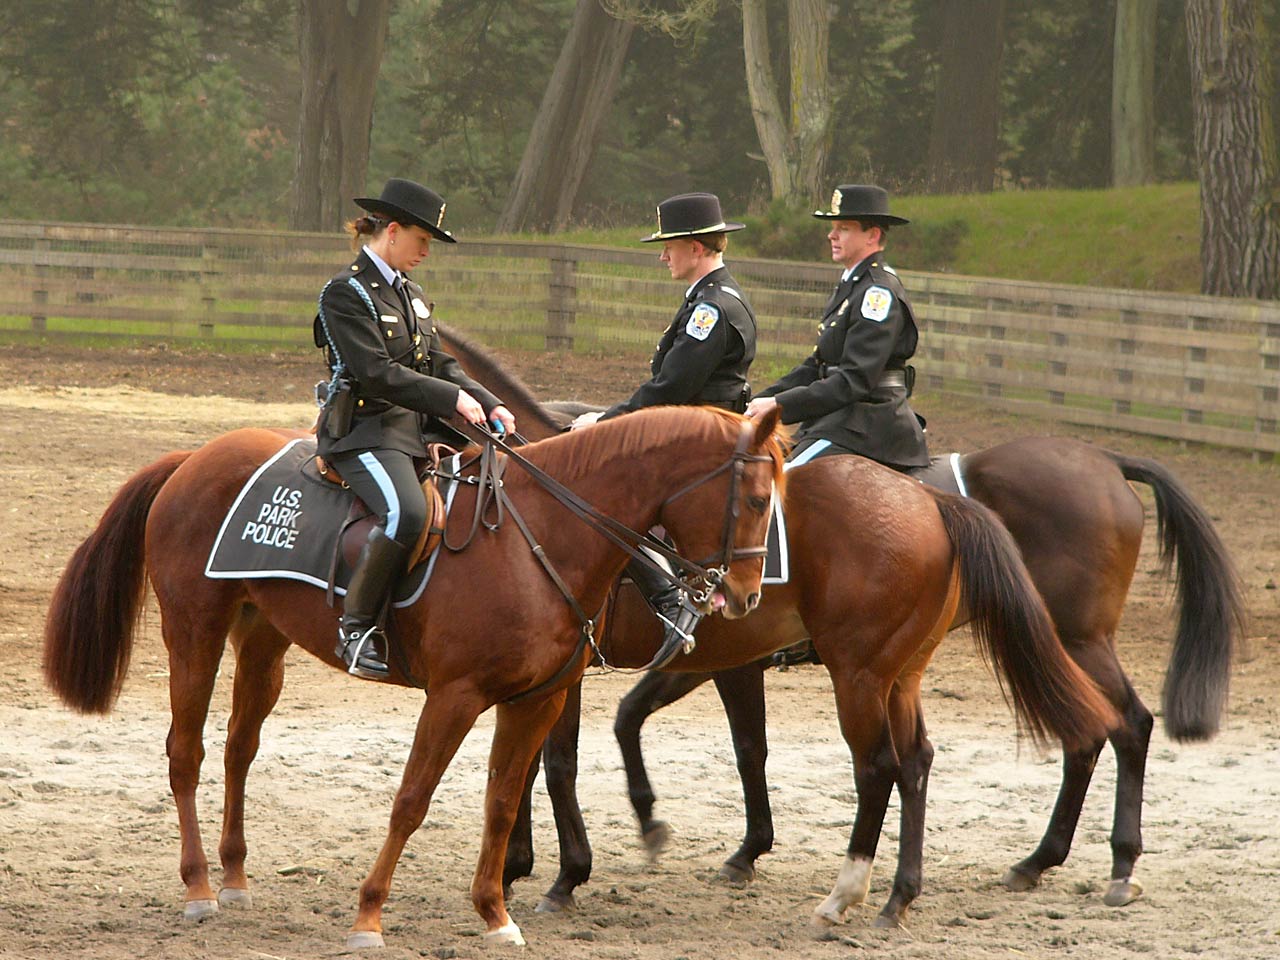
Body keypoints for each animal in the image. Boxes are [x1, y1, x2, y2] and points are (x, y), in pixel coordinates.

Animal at [45, 407, 783, 957]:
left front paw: (495, 914)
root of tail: (193, 458)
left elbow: (501, 803)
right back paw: (198, 889)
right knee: (186, 752)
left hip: (263, 638)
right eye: (753, 498)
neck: (541, 538)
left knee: (237, 750)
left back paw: (233, 878)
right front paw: (369, 918)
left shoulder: (535, 701)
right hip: (193, 630)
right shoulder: (455, 696)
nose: (745, 597)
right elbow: (411, 801)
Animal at [440, 321, 1239, 926]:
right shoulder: (713, 660)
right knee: (1065, 736)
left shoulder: (653, 660)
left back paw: (1105, 864)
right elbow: (719, 744)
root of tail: (1103, 458)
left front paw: (559, 870)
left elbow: (564, 757)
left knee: (1120, 725)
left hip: (1063, 641)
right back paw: (1024, 866)